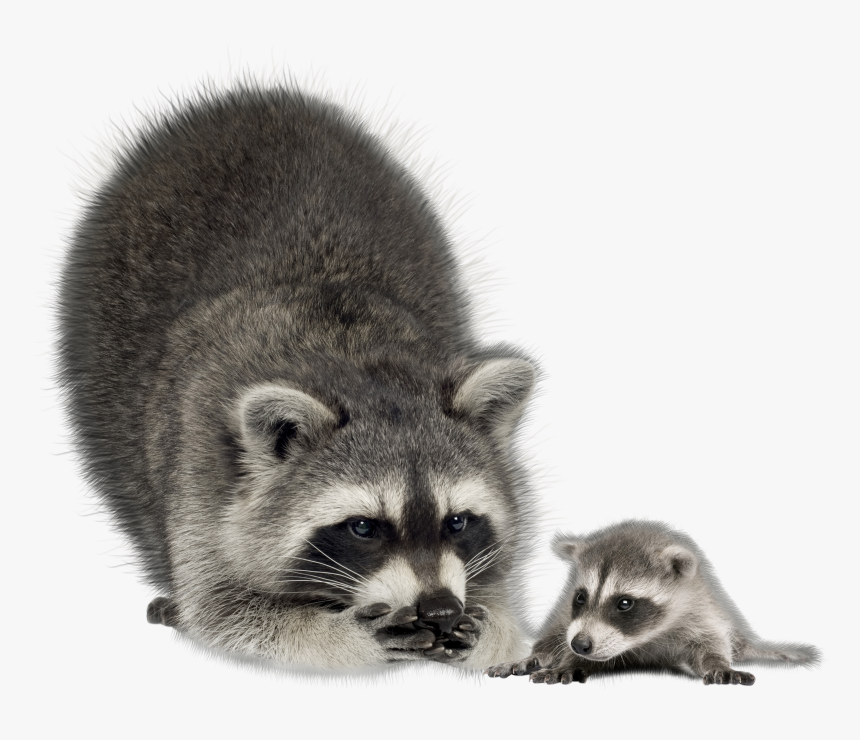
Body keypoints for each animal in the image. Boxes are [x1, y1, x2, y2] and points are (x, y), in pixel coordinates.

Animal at [58, 83, 537, 671]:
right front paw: (341, 634)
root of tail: (256, 98)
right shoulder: (202, 467)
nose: (440, 608)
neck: (354, 361)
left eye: (457, 522)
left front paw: (490, 625)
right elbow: (224, 609)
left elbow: (502, 596)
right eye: (363, 527)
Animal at [487, 520, 820, 685]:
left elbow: (709, 647)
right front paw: (565, 660)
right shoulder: (569, 618)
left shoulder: (701, 614)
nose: (580, 645)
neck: (644, 640)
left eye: (624, 603)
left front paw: (718, 663)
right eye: (580, 597)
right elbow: (559, 640)